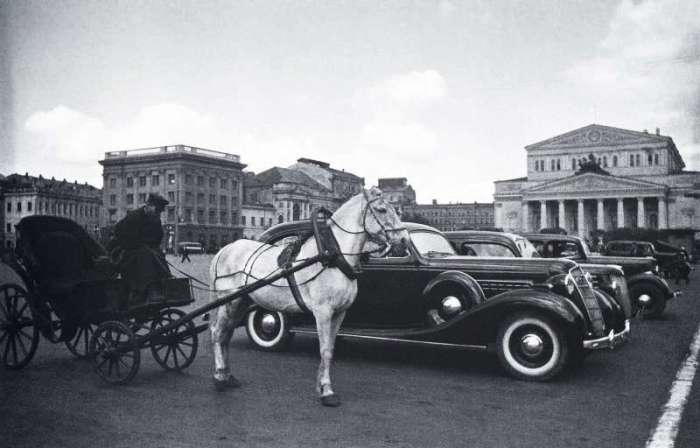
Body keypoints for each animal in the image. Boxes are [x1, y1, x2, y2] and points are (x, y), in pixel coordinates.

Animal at [205, 186, 408, 406]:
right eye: (381, 210)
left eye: (396, 209)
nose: (405, 240)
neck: (332, 257)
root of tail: (224, 249)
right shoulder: (323, 311)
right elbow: (324, 350)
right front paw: (327, 391)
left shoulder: (340, 313)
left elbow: (330, 349)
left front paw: (321, 386)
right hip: (229, 301)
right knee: (217, 333)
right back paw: (219, 378)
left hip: (241, 301)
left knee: (225, 335)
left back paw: (227, 375)